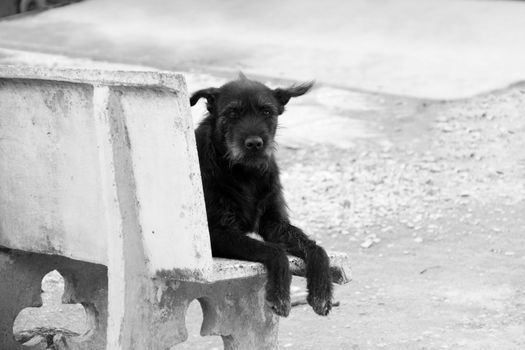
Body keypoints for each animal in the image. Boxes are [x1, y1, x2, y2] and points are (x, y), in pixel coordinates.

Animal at [189, 74, 332, 318]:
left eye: (267, 111)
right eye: (232, 113)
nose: (255, 143)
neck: (246, 173)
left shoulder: (274, 223)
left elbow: (316, 248)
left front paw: (321, 291)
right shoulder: (217, 233)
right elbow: (273, 251)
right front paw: (280, 294)